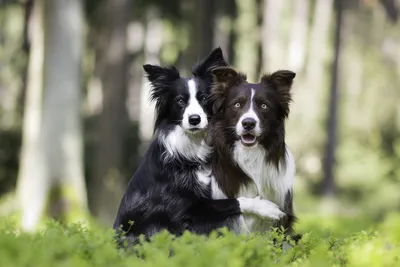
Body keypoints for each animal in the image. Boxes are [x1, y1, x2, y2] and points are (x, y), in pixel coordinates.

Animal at [112, 48, 284, 247]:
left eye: (204, 98)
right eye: (180, 101)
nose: (194, 119)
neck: (192, 148)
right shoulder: (186, 209)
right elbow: (233, 201)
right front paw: (267, 207)